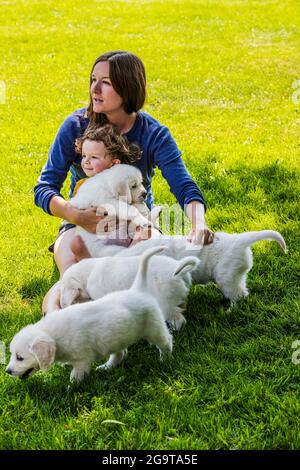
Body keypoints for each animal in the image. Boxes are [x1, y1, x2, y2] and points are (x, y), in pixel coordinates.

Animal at [5, 246, 172, 382]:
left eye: (20, 358)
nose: (7, 371)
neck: (54, 335)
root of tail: (138, 290)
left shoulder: (82, 360)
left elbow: (76, 378)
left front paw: (70, 390)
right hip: (117, 338)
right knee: (120, 354)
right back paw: (106, 367)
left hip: (154, 327)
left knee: (166, 342)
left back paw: (165, 360)